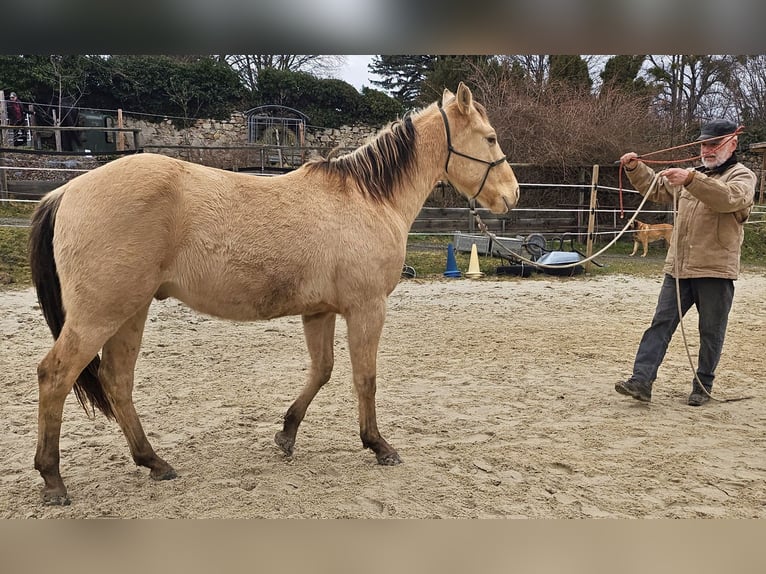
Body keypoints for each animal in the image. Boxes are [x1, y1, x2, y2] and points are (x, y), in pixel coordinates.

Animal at [30, 81, 520, 504]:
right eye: (491, 138)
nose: (512, 194)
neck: (368, 197)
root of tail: (67, 190)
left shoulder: (320, 311)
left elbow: (322, 371)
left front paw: (286, 434)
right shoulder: (367, 308)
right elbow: (365, 378)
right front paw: (378, 445)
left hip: (129, 311)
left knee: (117, 380)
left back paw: (154, 462)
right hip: (101, 313)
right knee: (56, 375)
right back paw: (53, 479)